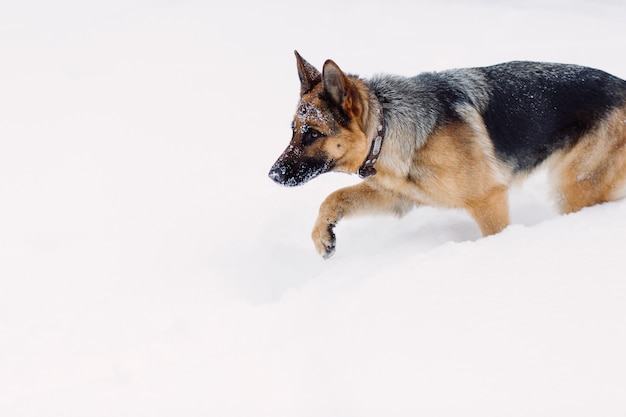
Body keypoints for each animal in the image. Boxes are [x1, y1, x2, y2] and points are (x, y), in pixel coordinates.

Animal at [266, 51, 624, 256]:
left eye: (313, 134)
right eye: (293, 130)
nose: (272, 175)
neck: (387, 128)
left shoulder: (489, 201)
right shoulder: (399, 198)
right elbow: (334, 197)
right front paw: (322, 236)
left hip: (574, 187)